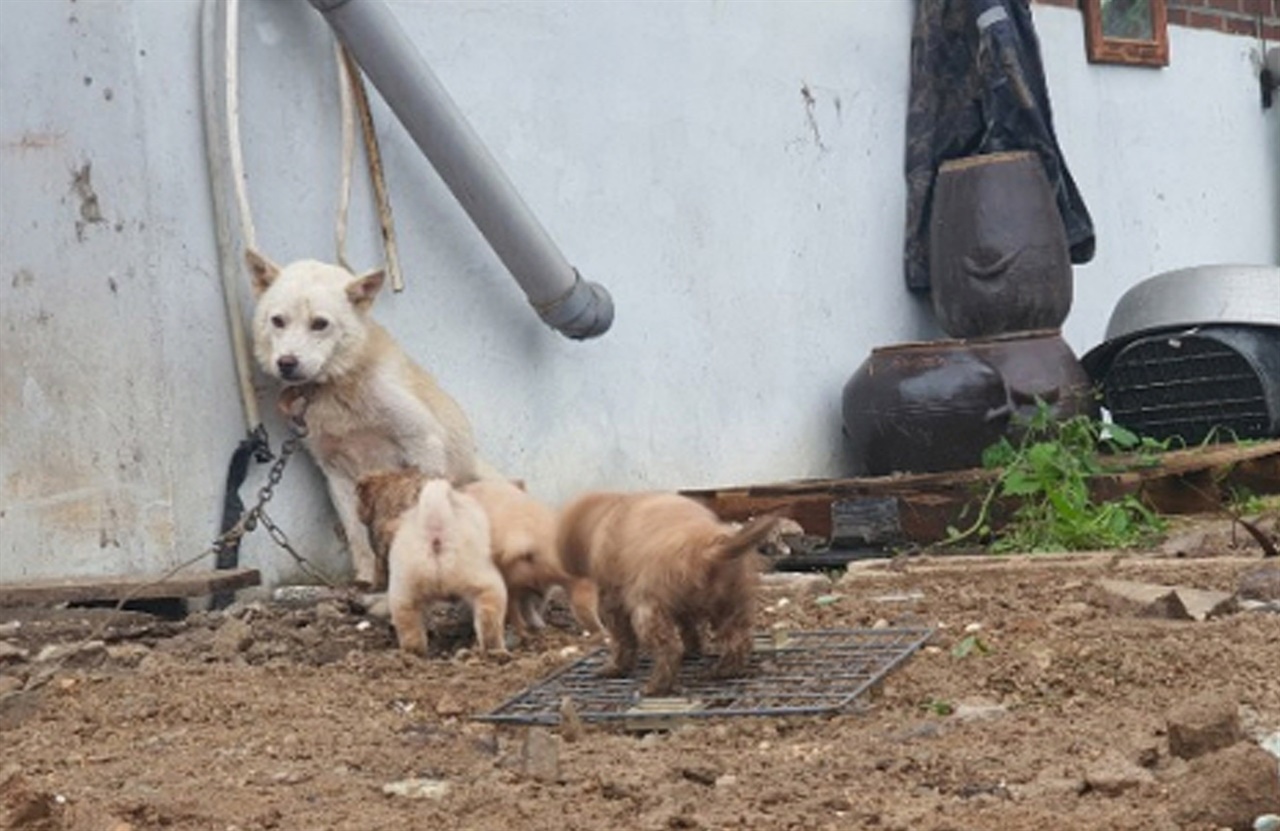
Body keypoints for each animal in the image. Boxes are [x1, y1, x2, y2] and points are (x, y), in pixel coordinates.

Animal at [247, 249, 486, 586]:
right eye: (278, 321)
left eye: (320, 324)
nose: (286, 363)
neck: (338, 388)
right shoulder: (336, 473)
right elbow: (357, 536)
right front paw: (365, 580)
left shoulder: (423, 442)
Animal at [558, 491, 778, 691]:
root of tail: (707, 549)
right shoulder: (681, 607)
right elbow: (689, 629)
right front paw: (694, 649)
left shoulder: (613, 600)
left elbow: (623, 640)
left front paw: (615, 668)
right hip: (731, 603)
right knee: (738, 639)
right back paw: (724, 671)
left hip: (647, 607)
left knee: (670, 648)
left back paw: (655, 687)